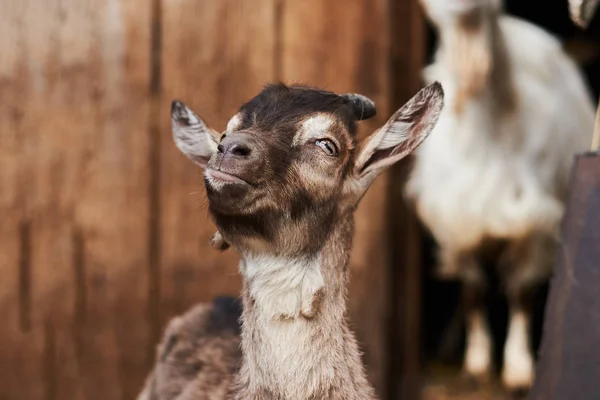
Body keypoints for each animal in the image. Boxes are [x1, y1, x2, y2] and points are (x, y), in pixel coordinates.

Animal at [406, 0, 596, 394]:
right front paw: (476, 364)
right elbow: (473, 291)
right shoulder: (457, 221)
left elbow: (520, 293)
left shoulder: (532, 223)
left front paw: (519, 369)